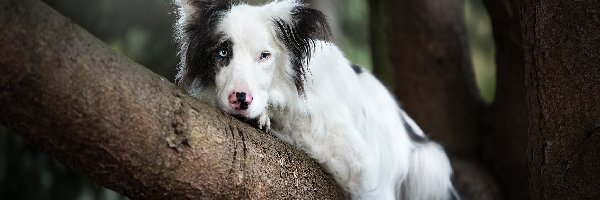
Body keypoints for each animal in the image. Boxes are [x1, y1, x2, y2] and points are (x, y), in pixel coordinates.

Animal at [172, 0, 454, 199]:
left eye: (264, 55)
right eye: (222, 52)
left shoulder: (354, 159)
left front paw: (264, 116)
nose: (240, 99)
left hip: (429, 167)